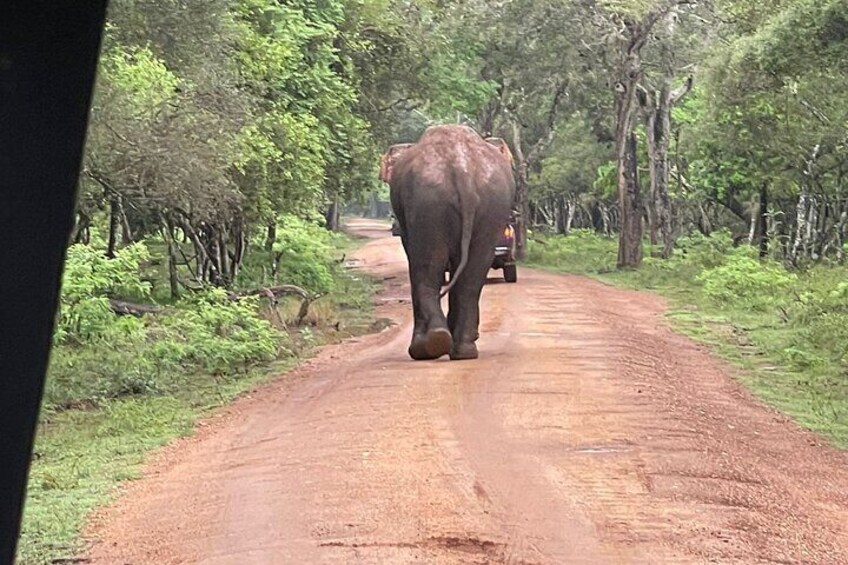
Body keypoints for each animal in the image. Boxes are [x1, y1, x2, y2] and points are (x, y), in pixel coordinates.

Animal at [379, 125, 515, 361]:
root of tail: (463, 170)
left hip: (428, 203)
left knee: (426, 268)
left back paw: (428, 347)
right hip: (491, 205)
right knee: (472, 276)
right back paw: (462, 350)